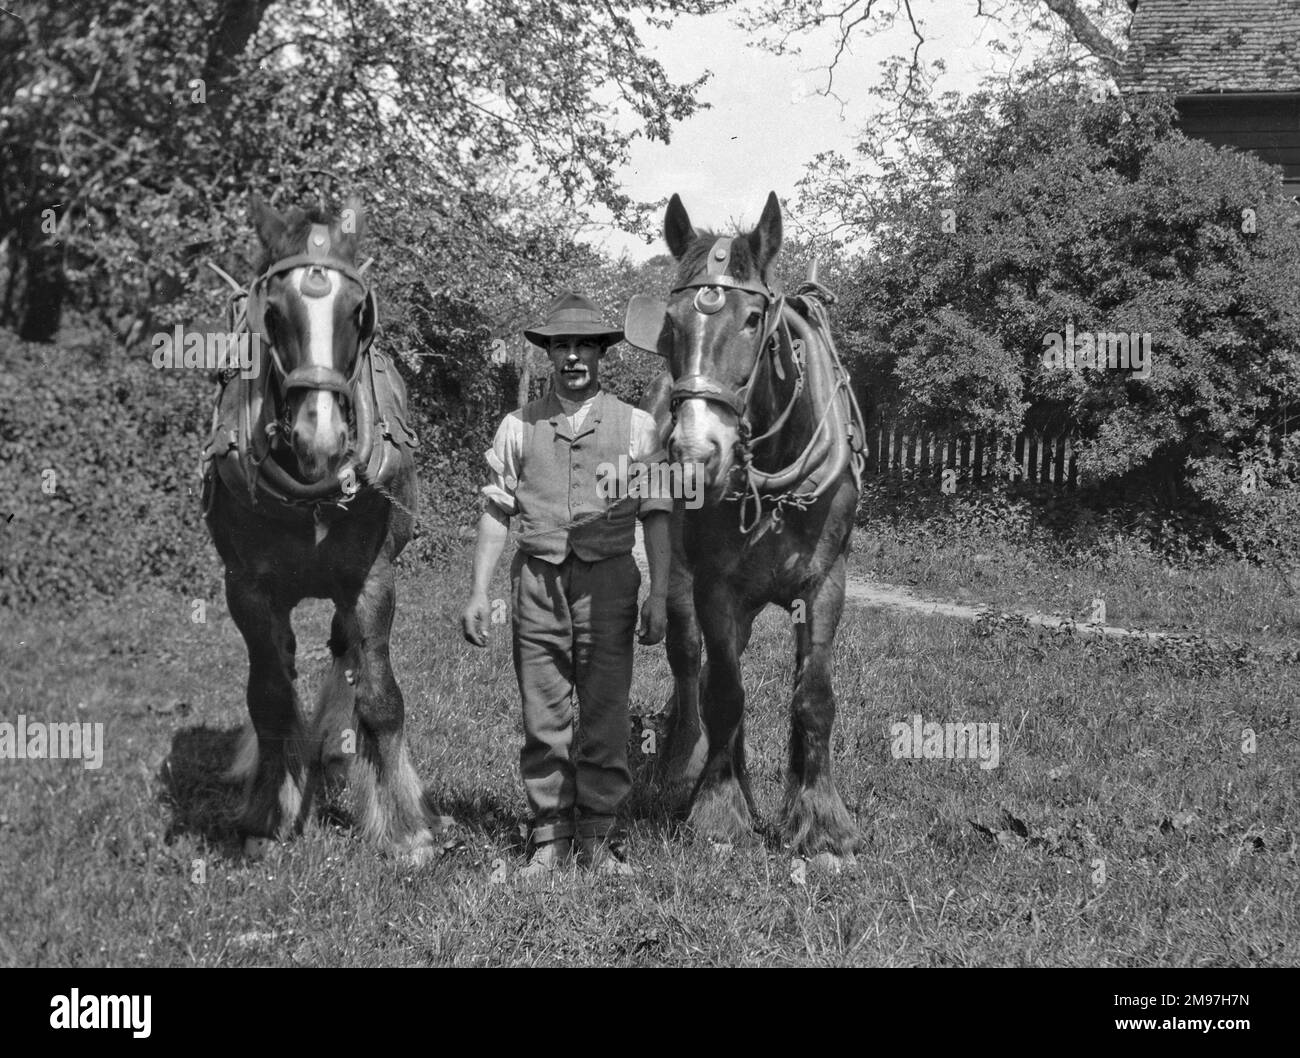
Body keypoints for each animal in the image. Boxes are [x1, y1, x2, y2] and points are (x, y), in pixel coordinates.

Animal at [200, 196, 439, 863]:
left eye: (359, 312)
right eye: (272, 314)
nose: (321, 437)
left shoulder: (372, 579)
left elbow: (381, 697)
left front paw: (406, 828)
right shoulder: (246, 589)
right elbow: (269, 698)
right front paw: (268, 813)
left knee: (344, 649)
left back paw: (333, 741)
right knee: (284, 663)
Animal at [634, 194, 868, 868]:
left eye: (754, 319)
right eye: (671, 324)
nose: (694, 455)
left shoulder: (826, 581)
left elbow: (813, 696)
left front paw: (820, 820)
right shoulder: (715, 585)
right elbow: (724, 693)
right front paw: (718, 810)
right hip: (684, 581)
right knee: (697, 666)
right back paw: (693, 768)